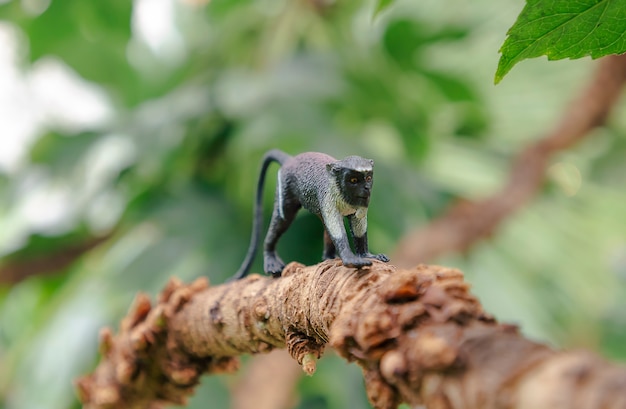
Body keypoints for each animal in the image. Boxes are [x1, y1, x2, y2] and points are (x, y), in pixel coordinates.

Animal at [230, 148, 386, 278]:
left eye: (368, 178)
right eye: (353, 180)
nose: (366, 188)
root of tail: (290, 160)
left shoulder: (361, 203)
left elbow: (358, 227)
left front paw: (365, 254)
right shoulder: (328, 198)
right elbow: (337, 229)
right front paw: (350, 258)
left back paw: (328, 257)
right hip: (286, 189)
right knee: (283, 220)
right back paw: (270, 258)